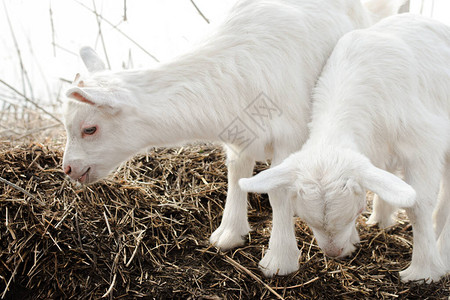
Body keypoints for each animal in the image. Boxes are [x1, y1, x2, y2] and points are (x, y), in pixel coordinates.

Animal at [62, 0, 404, 276]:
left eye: (89, 129)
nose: (68, 168)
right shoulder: (239, 136)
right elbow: (237, 176)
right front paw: (229, 235)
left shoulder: (290, 136)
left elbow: (280, 193)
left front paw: (279, 261)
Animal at [241, 13, 450, 282]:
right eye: (305, 219)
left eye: (356, 211)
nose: (334, 253)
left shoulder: (423, 143)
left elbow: (417, 204)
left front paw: (423, 271)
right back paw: (381, 220)